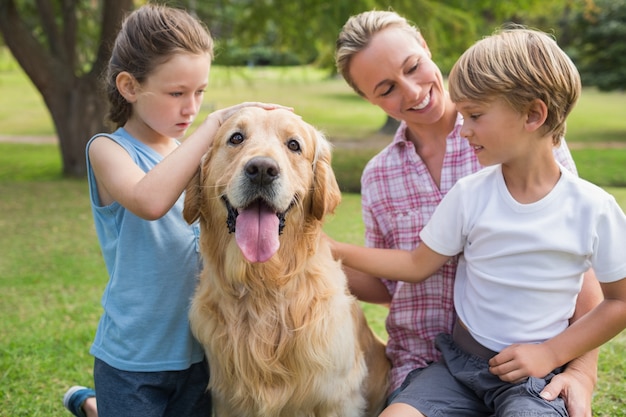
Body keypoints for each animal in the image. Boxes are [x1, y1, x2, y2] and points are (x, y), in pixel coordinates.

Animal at [182, 107, 386, 416]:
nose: (262, 170)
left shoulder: (335, 397)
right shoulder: (227, 399)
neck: (263, 285)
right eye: (236, 138)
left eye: (294, 145)